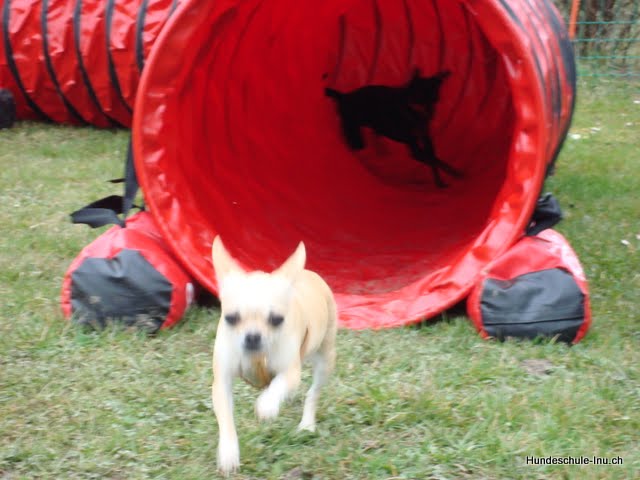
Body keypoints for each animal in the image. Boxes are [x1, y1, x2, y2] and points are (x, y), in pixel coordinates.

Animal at [210, 236, 337, 475]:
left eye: (277, 320)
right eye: (230, 318)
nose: (252, 336)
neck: (256, 356)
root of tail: (309, 274)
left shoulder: (291, 372)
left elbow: (278, 386)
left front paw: (267, 405)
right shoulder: (222, 383)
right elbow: (226, 419)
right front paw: (229, 453)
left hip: (325, 360)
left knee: (312, 394)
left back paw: (306, 425)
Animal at [325, 70, 462, 187]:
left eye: (435, 99)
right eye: (419, 99)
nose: (430, 113)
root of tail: (344, 96)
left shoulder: (427, 141)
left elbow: (435, 160)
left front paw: (444, 180)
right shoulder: (415, 150)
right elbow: (433, 160)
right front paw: (452, 176)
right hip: (355, 134)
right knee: (354, 145)